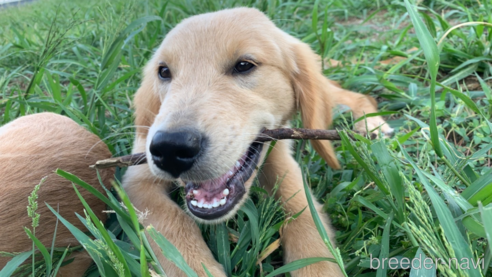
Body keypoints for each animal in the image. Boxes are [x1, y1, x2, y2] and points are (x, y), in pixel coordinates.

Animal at [125, 7, 394, 274]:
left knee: (358, 96)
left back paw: (374, 126)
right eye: (163, 72)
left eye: (244, 65)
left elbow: (304, 213)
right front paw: (196, 267)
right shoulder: (138, 178)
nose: (170, 149)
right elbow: (172, 223)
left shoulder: (280, 153)